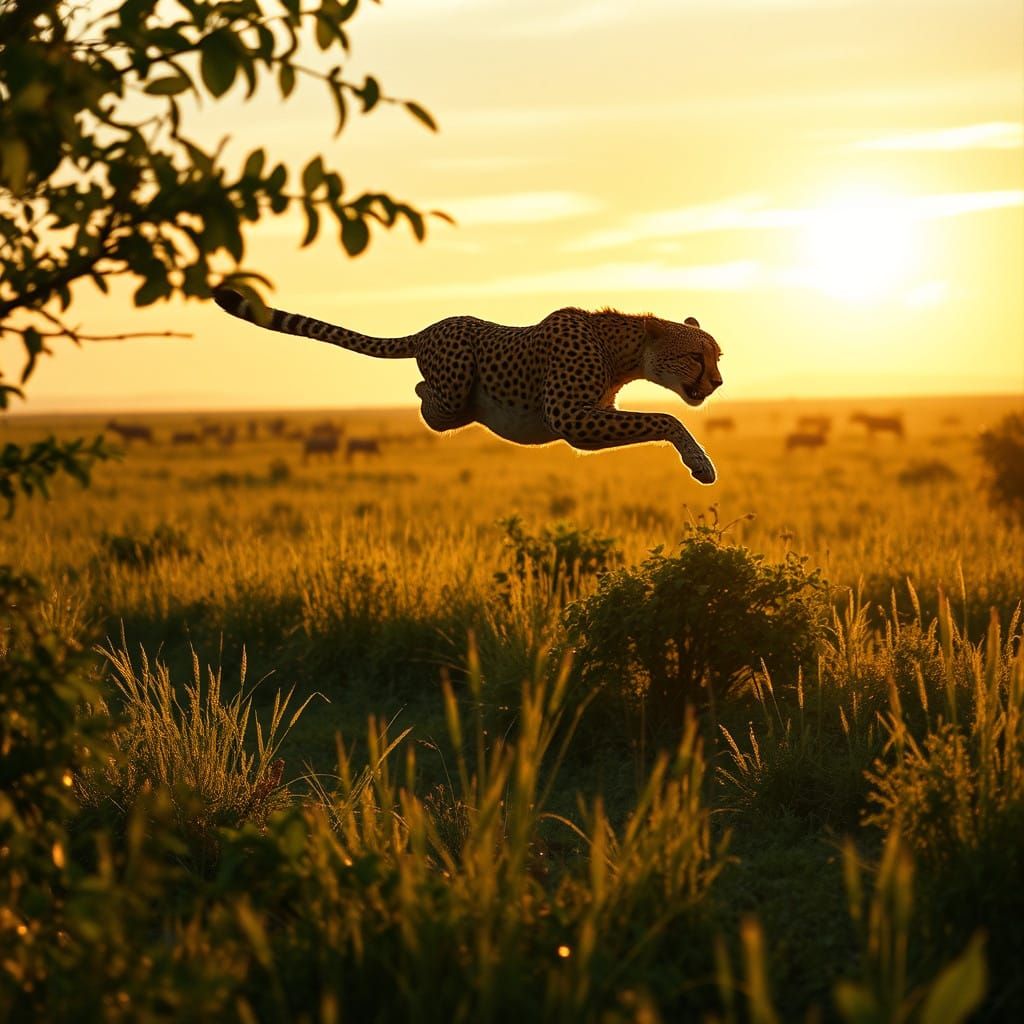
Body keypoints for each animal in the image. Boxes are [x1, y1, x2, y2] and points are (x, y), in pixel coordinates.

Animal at [213, 289, 724, 483]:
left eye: (716, 358)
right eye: (696, 357)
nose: (717, 383)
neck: (622, 350)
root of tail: (431, 327)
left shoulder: (583, 426)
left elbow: (656, 419)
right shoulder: (570, 416)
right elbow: (666, 417)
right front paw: (700, 463)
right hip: (457, 367)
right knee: (431, 401)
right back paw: (432, 395)